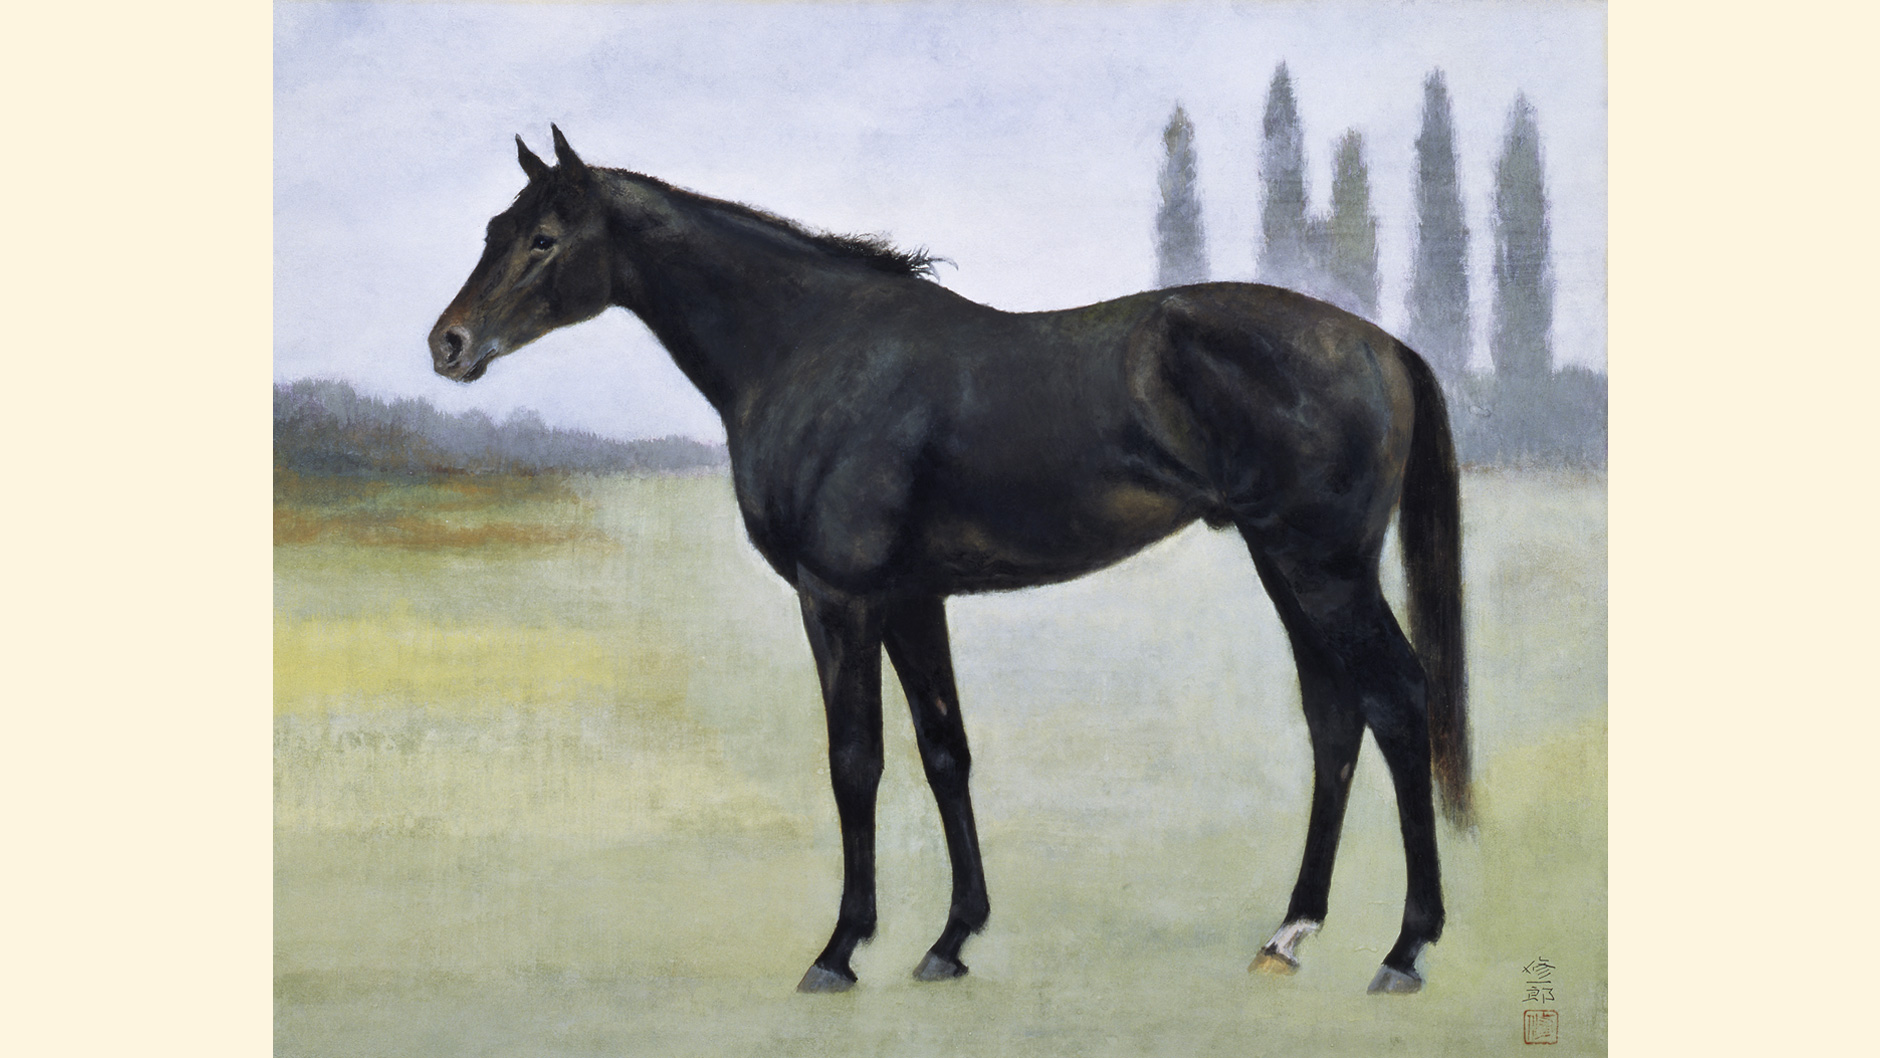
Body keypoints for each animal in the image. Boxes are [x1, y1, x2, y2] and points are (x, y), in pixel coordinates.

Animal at [428, 127, 1471, 995]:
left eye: (545, 239)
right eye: (495, 228)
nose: (448, 343)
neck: (810, 347)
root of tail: (1384, 345)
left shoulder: (839, 598)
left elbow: (856, 762)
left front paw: (840, 950)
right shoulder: (910, 598)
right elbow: (944, 752)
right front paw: (951, 938)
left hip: (1322, 568)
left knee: (1396, 701)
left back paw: (1405, 948)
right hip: (1285, 563)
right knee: (1334, 721)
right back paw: (1289, 934)